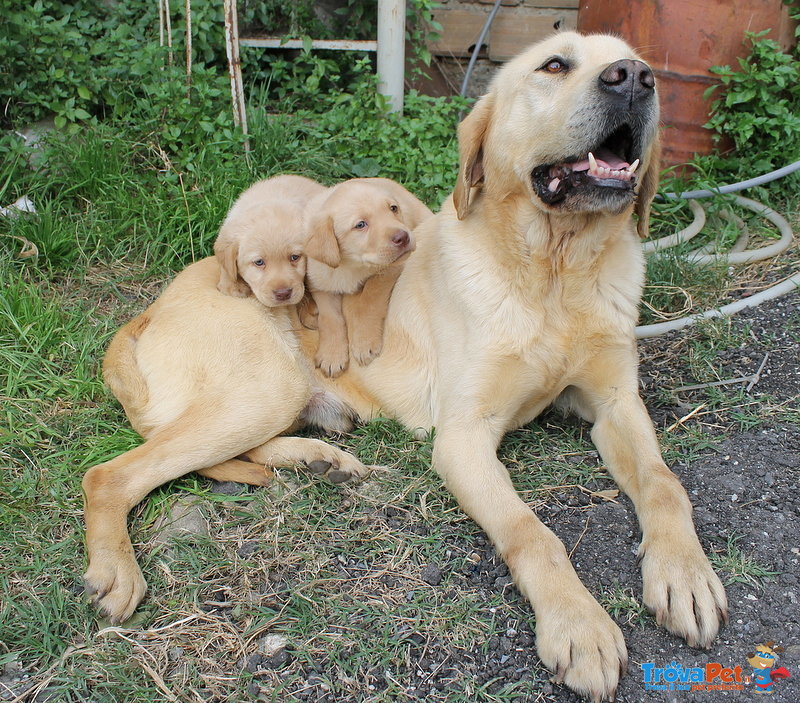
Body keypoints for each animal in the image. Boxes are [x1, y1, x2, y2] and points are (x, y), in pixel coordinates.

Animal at [304, 180, 434, 380]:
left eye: (393, 208)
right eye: (360, 224)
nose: (403, 237)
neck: (351, 265)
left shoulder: (391, 269)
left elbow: (369, 300)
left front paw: (364, 342)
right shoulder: (320, 283)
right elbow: (330, 317)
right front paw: (332, 354)